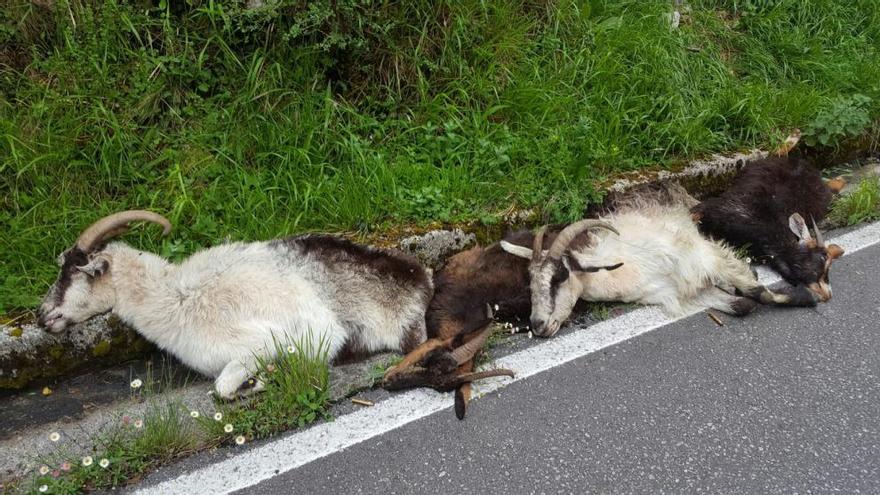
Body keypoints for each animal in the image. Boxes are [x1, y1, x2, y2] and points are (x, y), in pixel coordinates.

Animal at [38, 211, 434, 398]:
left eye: (68, 273)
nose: (43, 316)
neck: (173, 298)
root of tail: (419, 281)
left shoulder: (266, 341)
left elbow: (222, 388)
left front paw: (259, 382)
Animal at [498, 188, 816, 340]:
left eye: (559, 277)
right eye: (530, 284)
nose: (538, 325)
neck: (630, 268)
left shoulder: (699, 258)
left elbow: (757, 292)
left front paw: (807, 297)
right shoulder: (676, 293)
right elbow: (742, 305)